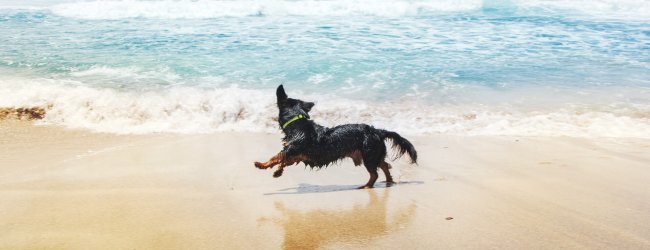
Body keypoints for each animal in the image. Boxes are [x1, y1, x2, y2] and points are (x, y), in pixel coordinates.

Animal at [253, 85, 416, 188]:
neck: (297, 124)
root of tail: (378, 131)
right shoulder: (297, 154)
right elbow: (283, 161)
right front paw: (278, 171)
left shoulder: (292, 150)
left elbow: (276, 157)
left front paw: (261, 164)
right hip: (373, 153)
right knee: (385, 165)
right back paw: (389, 181)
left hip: (369, 154)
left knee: (375, 173)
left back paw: (366, 186)